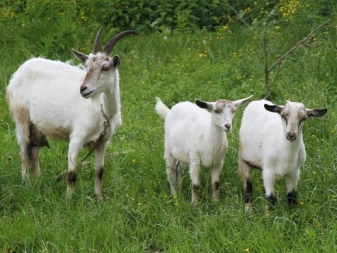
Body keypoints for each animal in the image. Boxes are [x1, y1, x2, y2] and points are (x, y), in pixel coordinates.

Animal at [6, 28, 136, 198]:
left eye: (105, 67)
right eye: (86, 66)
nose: (83, 89)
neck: (103, 112)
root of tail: (19, 71)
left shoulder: (102, 142)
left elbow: (99, 172)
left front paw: (99, 198)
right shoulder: (76, 138)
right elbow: (71, 174)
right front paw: (68, 200)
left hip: (37, 126)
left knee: (33, 153)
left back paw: (38, 183)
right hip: (21, 118)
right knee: (23, 154)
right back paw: (27, 185)